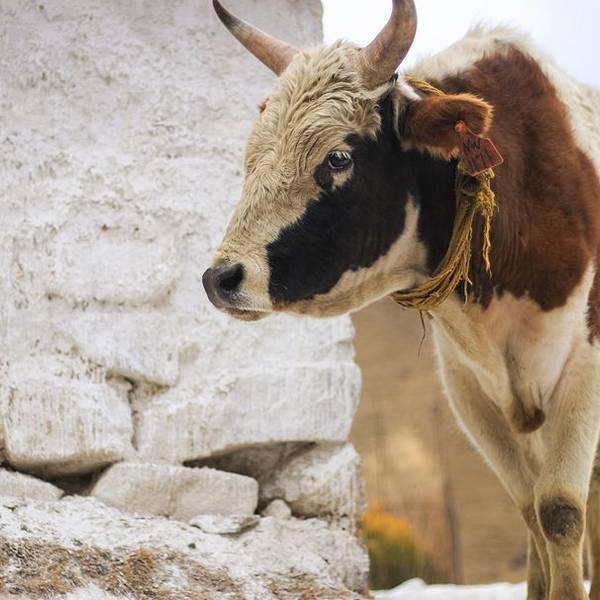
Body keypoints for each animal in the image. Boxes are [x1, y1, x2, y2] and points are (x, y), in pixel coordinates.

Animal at [202, 1, 600, 598]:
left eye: (338, 157)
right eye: (252, 156)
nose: (221, 277)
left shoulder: (581, 370)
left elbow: (559, 511)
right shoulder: (469, 387)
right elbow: (531, 508)